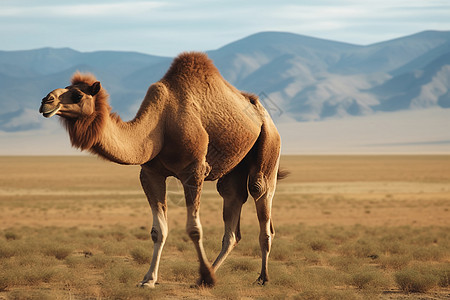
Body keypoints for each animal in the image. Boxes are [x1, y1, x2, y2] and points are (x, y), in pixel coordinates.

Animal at [38, 52, 284, 288]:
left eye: (77, 95)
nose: (45, 101)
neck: (161, 124)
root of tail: (264, 114)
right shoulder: (150, 173)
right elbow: (158, 231)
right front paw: (148, 279)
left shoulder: (194, 170)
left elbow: (194, 228)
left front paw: (202, 275)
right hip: (234, 170)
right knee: (232, 215)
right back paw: (210, 275)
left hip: (269, 143)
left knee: (261, 197)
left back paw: (261, 277)